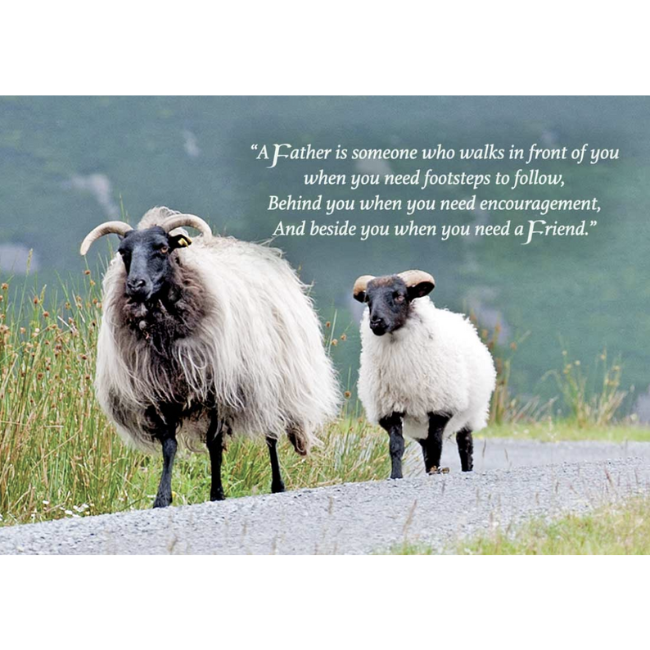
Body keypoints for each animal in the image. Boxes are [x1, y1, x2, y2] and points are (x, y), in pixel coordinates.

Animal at [80, 206, 339, 507]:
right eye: (124, 252)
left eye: (163, 248)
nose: (135, 285)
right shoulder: (160, 393)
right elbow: (170, 446)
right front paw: (162, 498)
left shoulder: (217, 387)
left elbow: (214, 444)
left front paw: (217, 493)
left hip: (272, 383)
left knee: (271, 434)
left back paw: (278, 485)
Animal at [353, 270, 496, 479]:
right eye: (368, 299)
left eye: (400, 296)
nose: (376, 322)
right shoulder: (388, 410)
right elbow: (396, 446)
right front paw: (396, 476)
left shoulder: (440, 408)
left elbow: (436, 446)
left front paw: (434, 472)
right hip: (418, 425)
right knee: (426, 446)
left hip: (471, 414)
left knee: (465, 445)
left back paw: (465, 469)